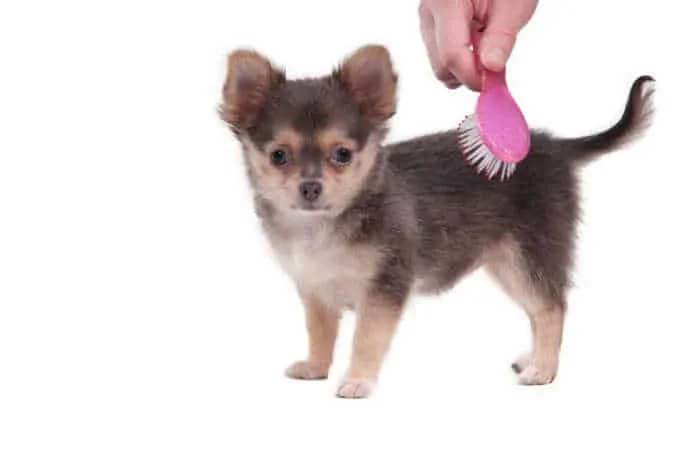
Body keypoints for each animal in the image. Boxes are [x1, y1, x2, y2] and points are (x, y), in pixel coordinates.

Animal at [220, 44, 656, 398]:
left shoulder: (384, 289)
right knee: (538, 310)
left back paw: (543, 370)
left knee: (552, 308)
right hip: (507, 263)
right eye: (279, 156)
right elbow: (321, 333)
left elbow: (365, 338)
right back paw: (532, 358)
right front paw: (315, 367)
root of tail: (557, 148)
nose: (310, 186)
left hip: (527, 256)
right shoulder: (316, 289)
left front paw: (358, 380)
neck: (322, 227)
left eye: (342, 155)